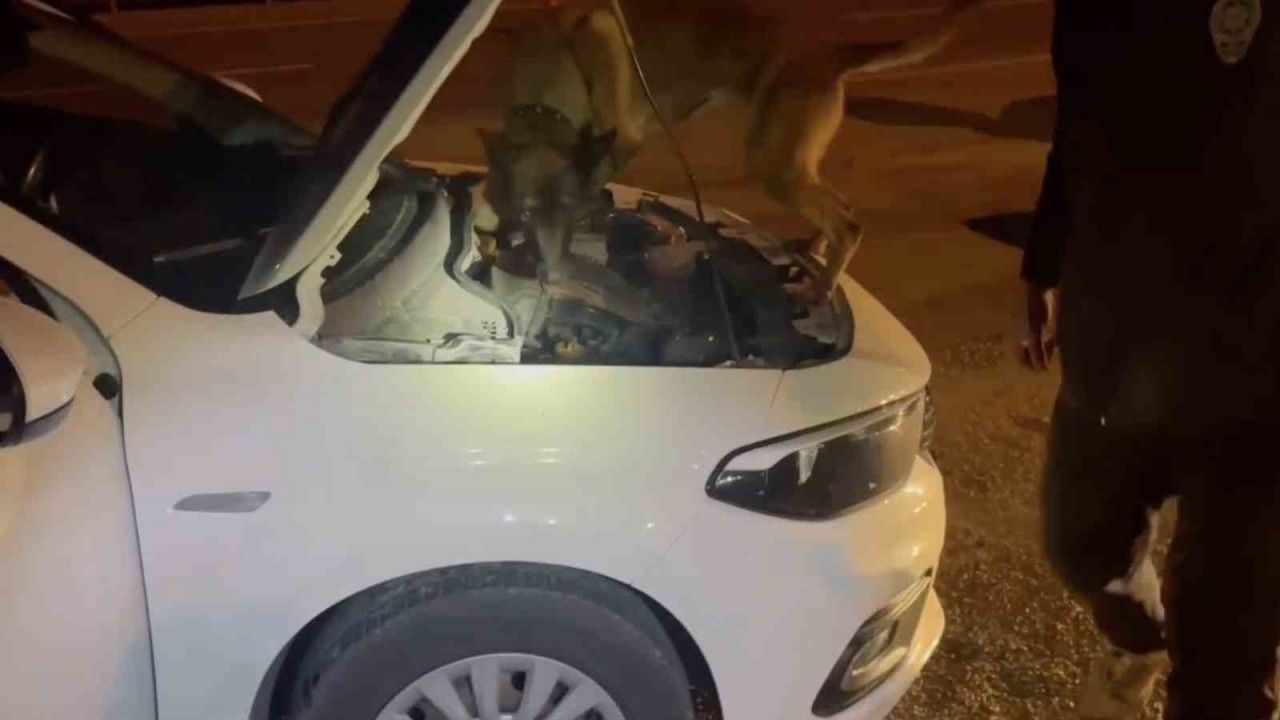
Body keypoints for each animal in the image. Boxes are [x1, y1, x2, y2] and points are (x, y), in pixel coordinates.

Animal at [481, 0, 984, 297]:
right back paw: (815, 252)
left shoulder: (621, 137)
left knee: (849, 223)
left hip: (774, 163)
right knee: (841, 207)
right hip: (791, 161)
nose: (505, 254)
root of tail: (827, 49)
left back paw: (819, 290)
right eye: (508, 209)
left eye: (531, 214)